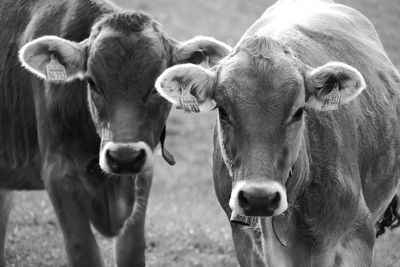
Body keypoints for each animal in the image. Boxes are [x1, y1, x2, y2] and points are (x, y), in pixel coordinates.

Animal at [0, 0, 231, 267]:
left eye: (157, 86)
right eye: (91, 82)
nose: (124, 157)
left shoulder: (143, 173)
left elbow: (132, 250)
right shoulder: (58, 174)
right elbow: (84, 252)